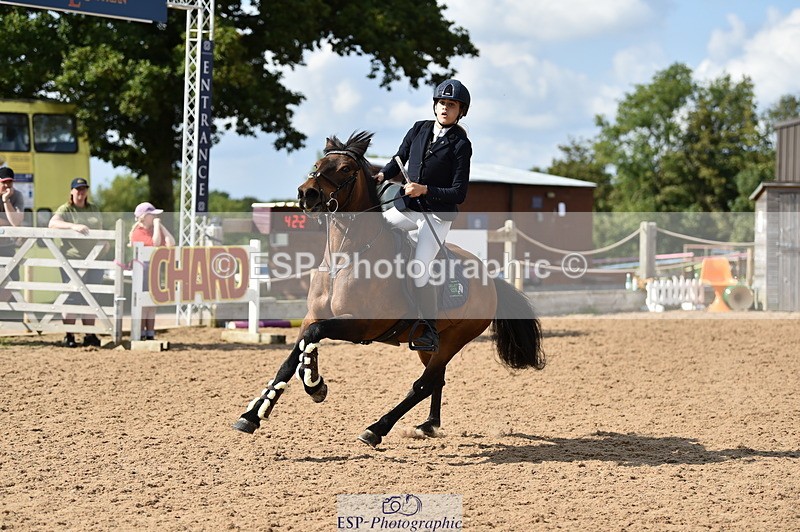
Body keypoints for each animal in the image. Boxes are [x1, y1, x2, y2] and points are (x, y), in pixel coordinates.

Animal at [232, 131, 545, 447]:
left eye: (346, 168)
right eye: (318, 164)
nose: (307, 194)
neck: (343, 259)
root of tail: (489, 279)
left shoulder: (360, 325)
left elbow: (314, 336)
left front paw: (313, 383)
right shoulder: (312, 316)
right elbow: (293, 355)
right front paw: (254, 414)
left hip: (455, 339)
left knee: (423, 384)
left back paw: (376, 429)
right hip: (431, 344)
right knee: (436, 379)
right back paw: (428, 425)